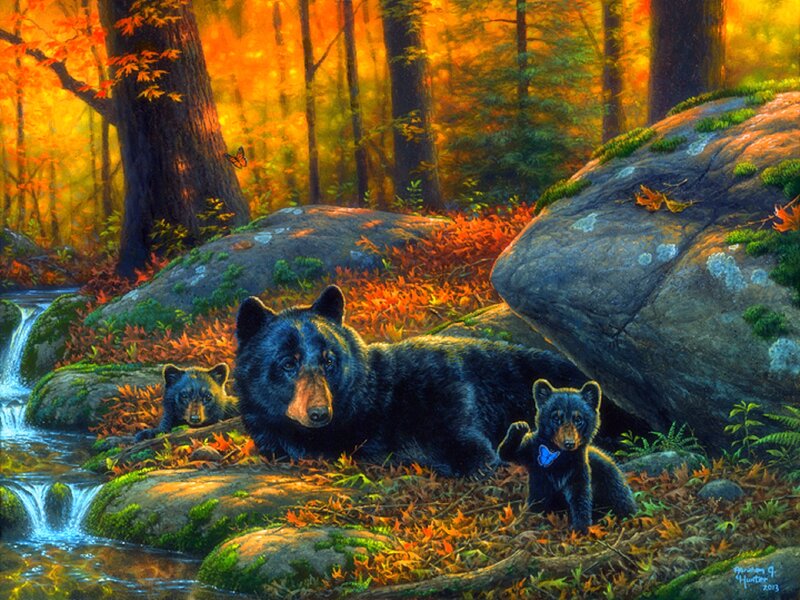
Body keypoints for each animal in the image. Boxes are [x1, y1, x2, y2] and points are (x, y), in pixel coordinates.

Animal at [233, 285, 587, 477]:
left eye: (329, 360)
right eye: (288, 363)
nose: (319, 413)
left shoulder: (438, 379)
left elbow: (454, 408)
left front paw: (477, 459)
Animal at [497, 379, 637, 533]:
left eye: (578, 419)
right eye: (556, 418)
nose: (569, 443)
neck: (559, 456)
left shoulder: (578, 468)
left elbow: (580, 496)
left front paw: (581, 526)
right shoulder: (533, 456)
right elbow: (509, 453)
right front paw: (519, 426)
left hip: (610, 479)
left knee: (620, 498)